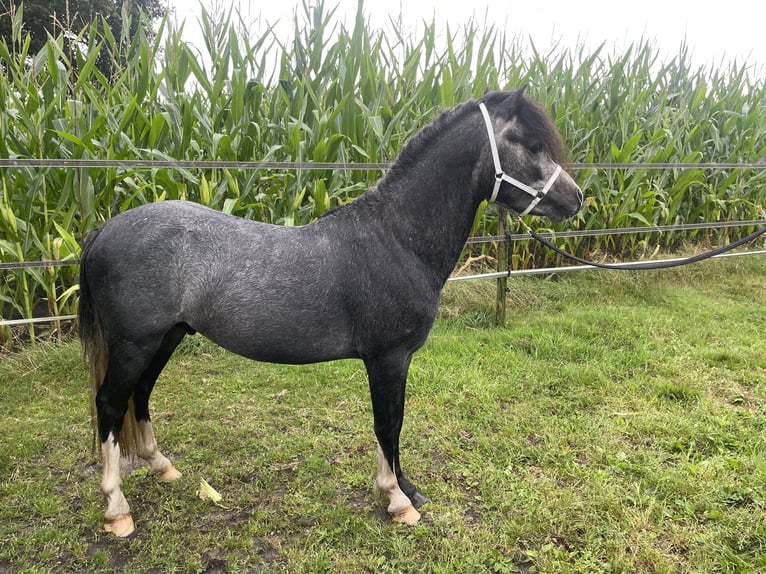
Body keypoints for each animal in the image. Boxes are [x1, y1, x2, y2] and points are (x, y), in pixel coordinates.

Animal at [79, 88, 584, 536]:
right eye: (531, 144)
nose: (576, 198)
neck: (396, 239)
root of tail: (105, 229)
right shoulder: (388, 358)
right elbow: (388, 424)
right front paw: (397, 499)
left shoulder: (393, 360)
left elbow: (393, 425)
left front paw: (407, 489)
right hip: (135, 343)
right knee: (110, 404)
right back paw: (116, 509)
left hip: (167, 337)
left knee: (140, 395)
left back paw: (162, 467)